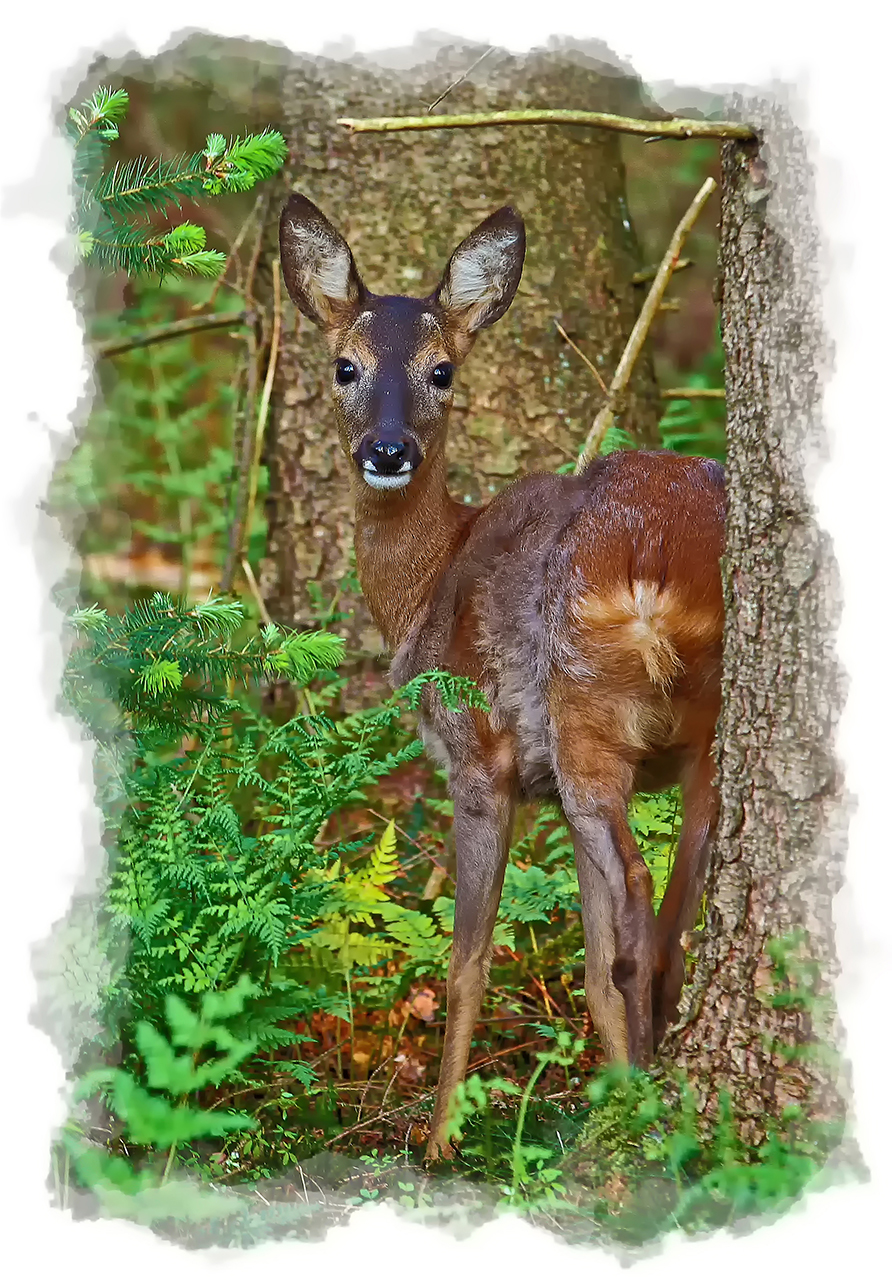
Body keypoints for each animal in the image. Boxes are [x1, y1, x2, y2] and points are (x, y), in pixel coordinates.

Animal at [281, 189, 726, 1162]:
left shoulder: (479, 756)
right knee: (675, 899)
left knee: (640, 898)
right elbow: (586, 963)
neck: (426, 585)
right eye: (344, 365)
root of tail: (657, 558)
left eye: (443, 371)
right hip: (704, 728)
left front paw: (440, 1140)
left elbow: (468, 959)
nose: (388, 450)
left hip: (582, 711)